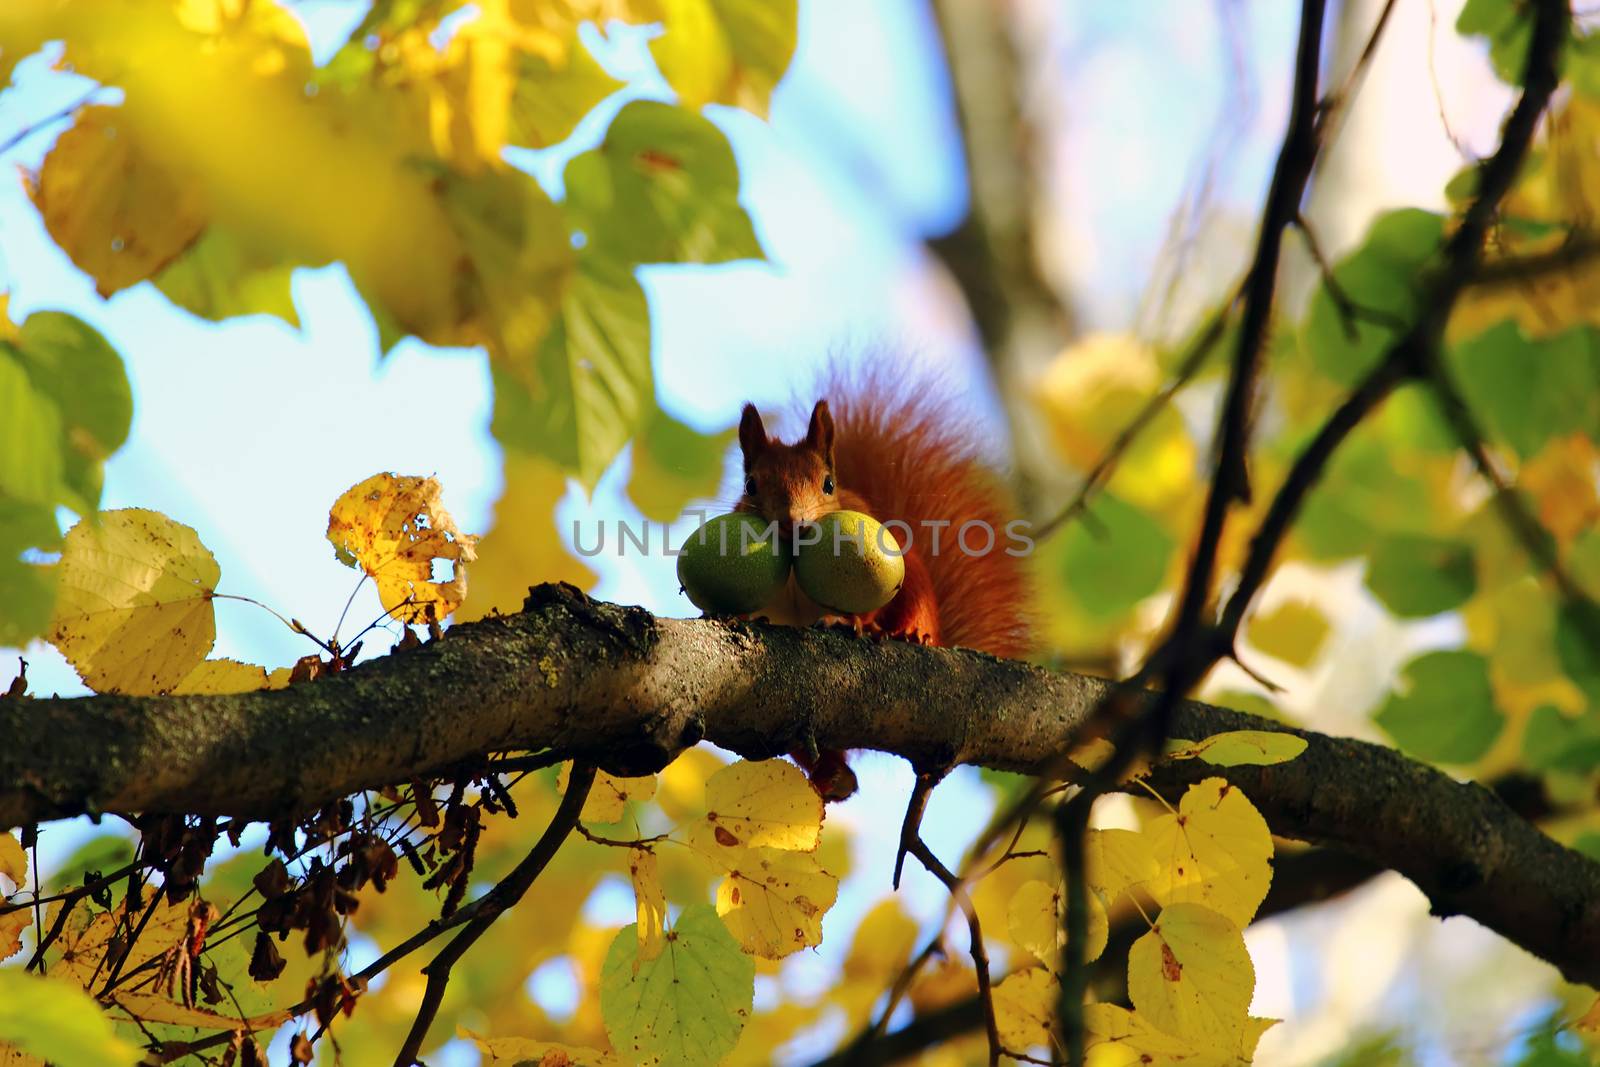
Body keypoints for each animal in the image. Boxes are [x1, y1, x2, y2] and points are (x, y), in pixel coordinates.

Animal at [732, 367, 1030, 799]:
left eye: (828, 484)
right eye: (750, 485)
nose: (793, 523)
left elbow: (872, 606)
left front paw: (852, 622)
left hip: (916, 580)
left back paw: (911, 634)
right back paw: (834, 777)